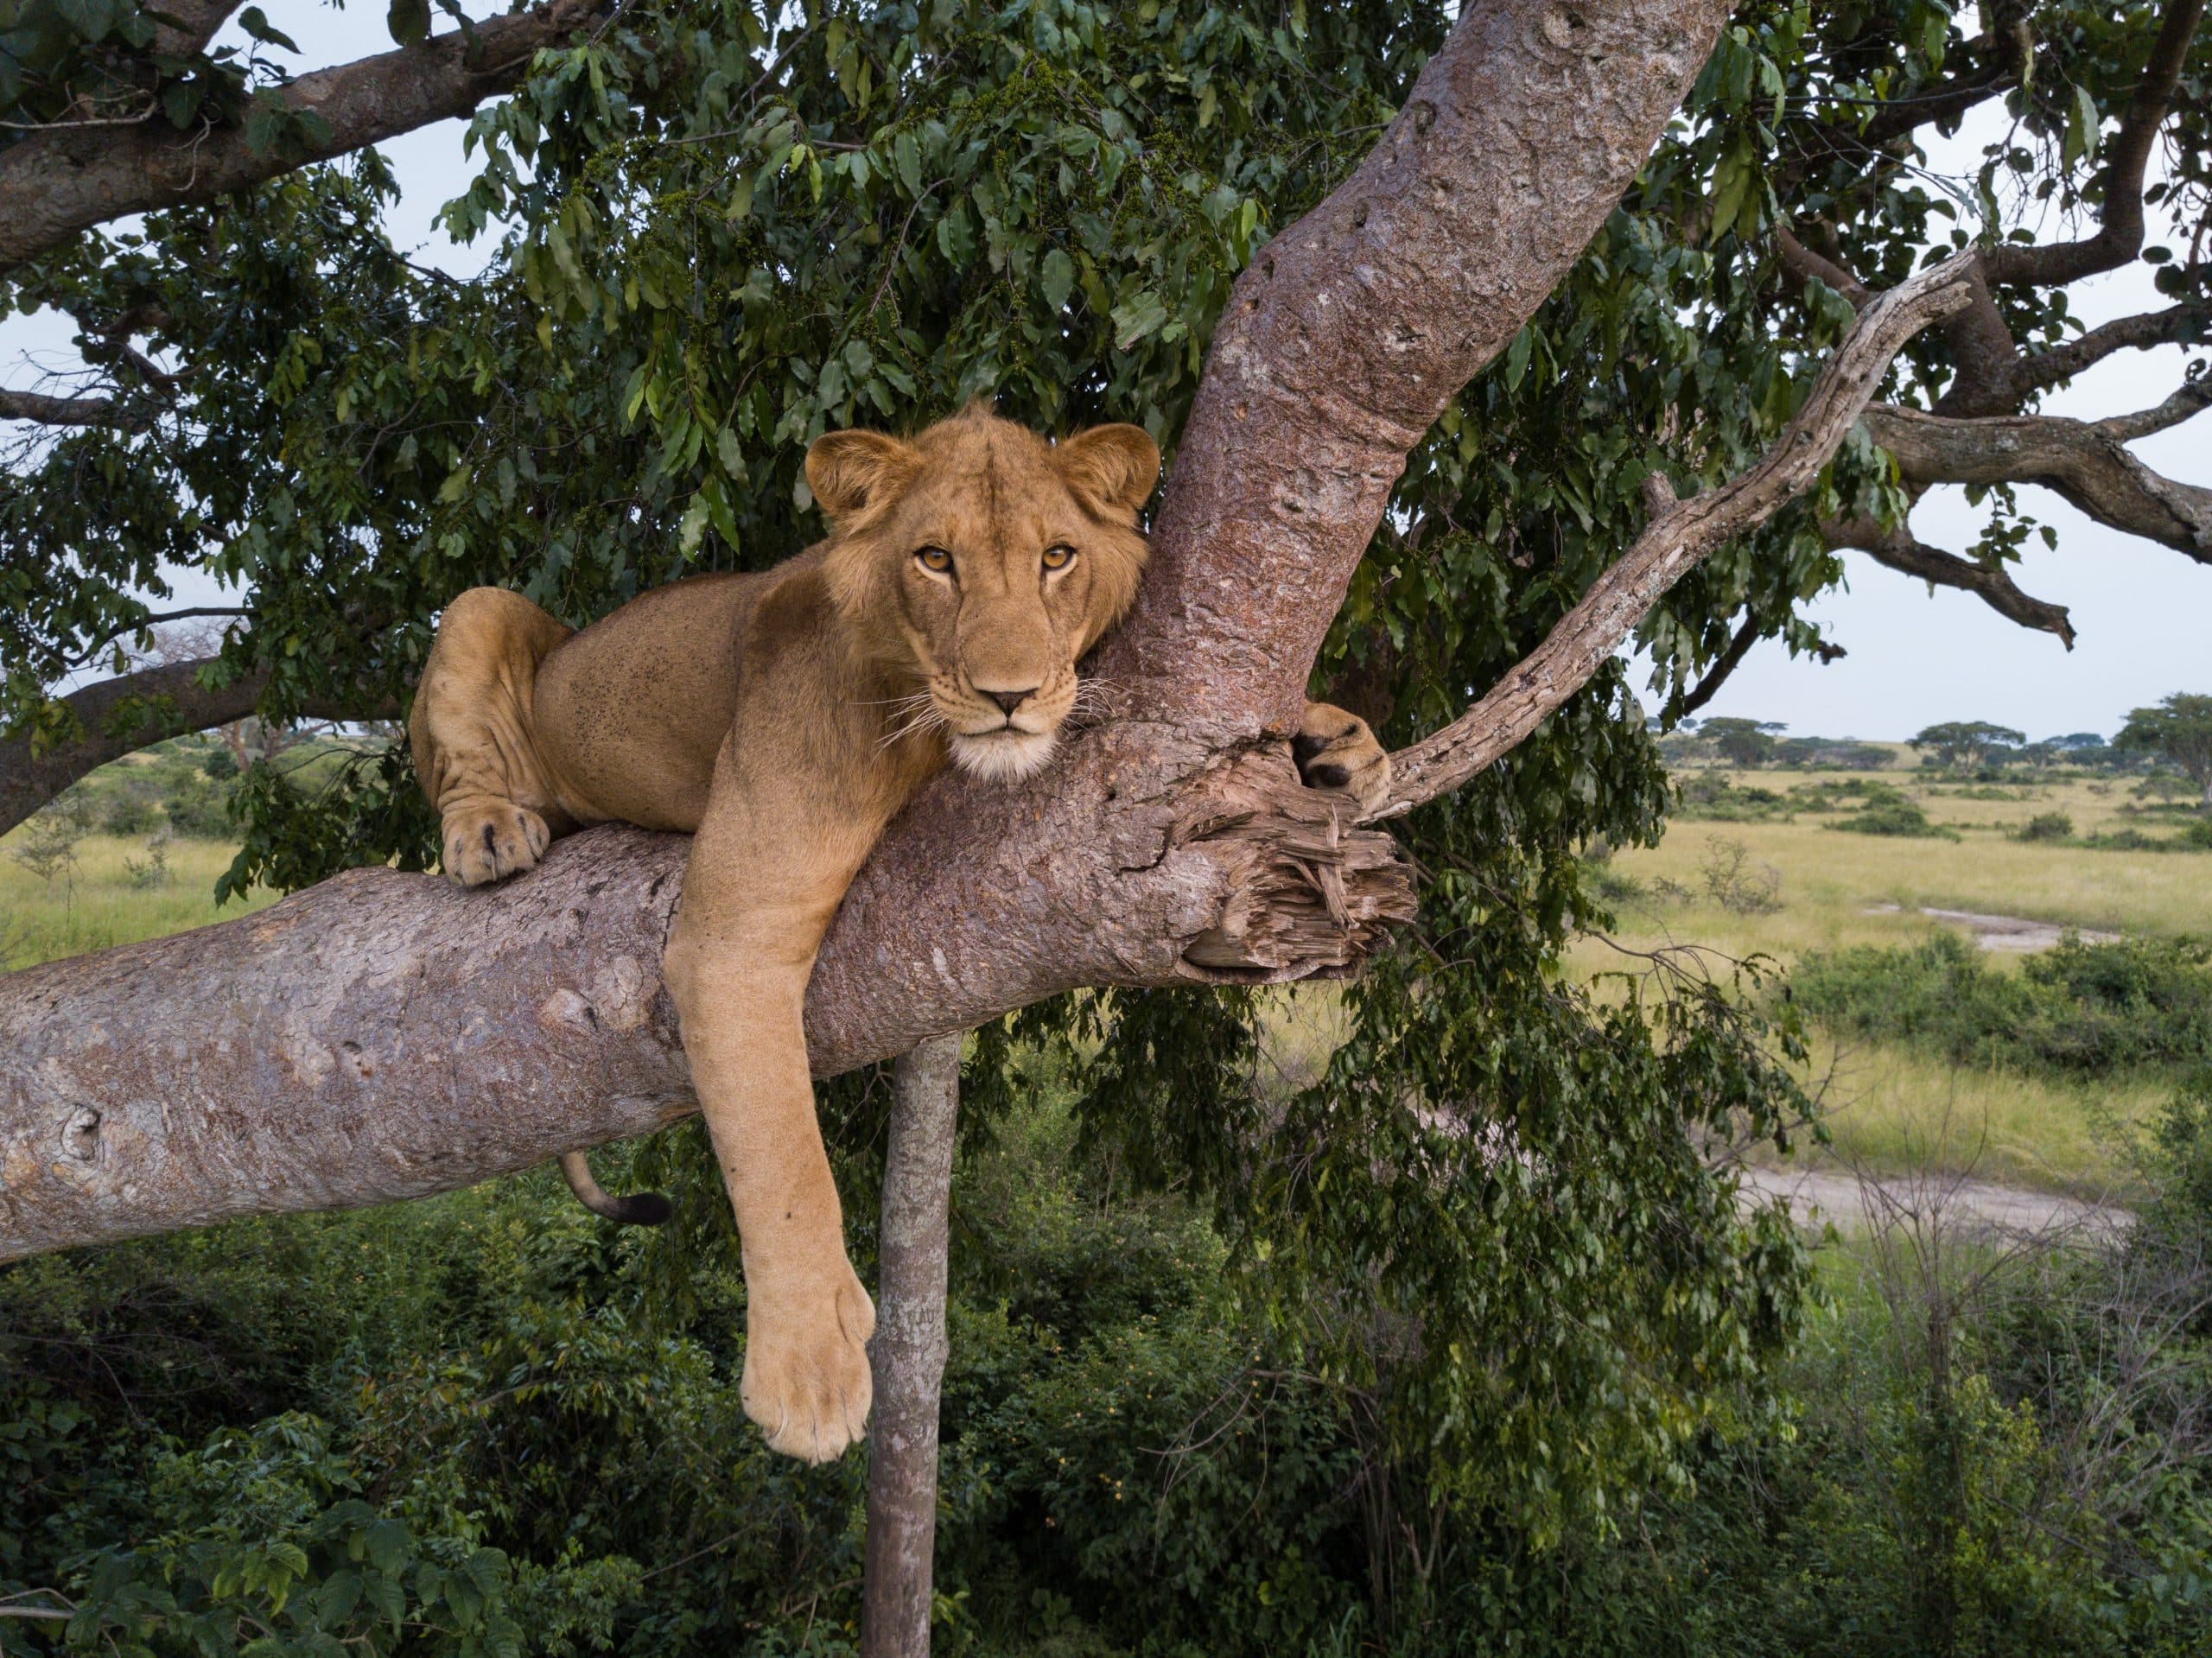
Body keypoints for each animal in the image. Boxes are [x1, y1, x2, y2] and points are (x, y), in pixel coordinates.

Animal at [407, 406, 1389, 1467]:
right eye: (934, 560)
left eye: (1056, 557)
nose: (1009, 695)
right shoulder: (732, 937)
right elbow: (780, 1150)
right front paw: (808, 1369)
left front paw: (1337, 740)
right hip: (482, 609)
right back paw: (489, 831)